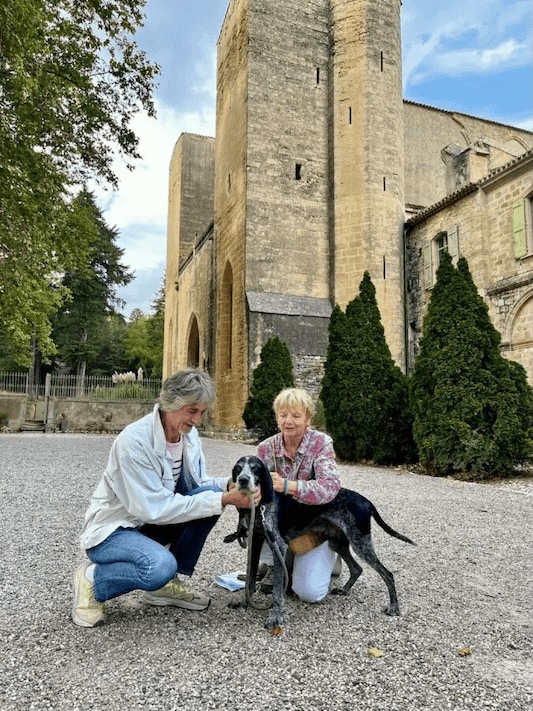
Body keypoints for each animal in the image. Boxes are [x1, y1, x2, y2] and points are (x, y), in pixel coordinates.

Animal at [224, 456, 416, 636]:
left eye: (255, 468)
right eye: (238, 469)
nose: (243, 480)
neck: (261, 505)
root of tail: (366, 502)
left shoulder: (278, 545)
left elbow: (277, 591)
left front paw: (275, 617)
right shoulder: (255, 542)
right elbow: (250, 579)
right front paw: (244, 603)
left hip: (361, 543)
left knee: (387, 574)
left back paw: (394, 607)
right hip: (338, 543)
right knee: (357, 568)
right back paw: (344, 590)